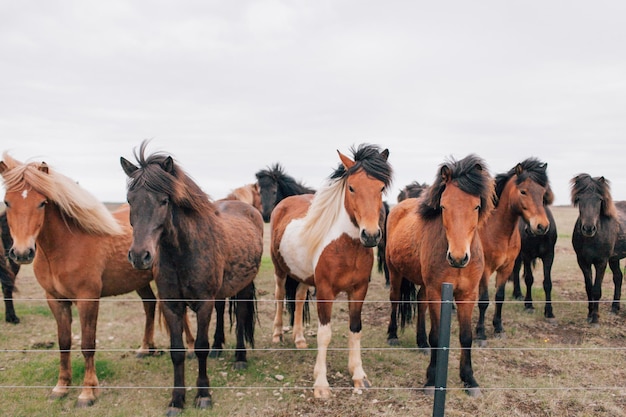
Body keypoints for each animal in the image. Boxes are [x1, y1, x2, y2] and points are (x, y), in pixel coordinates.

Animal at [122, 141, 260, 414]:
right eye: (130, 200)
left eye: (164, 200)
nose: (140, 255)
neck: (181, 253)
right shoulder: (171, 305)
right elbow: (177, 351)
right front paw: (176, 400)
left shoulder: (203, 303)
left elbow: (200, 347)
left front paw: (203, 395)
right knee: (223, 310)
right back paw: (219, 349)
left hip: (243, 286)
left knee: (241, 315)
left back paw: (240, 357)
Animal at [268, 144, 390, 396]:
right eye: (351, 187)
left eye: (381, 187)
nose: (371, 235)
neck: (346, 246)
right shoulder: (325, 292)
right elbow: (325, 335)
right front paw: (321, 385)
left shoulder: (359, 291)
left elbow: (355, 329)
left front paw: (358, 375)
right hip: (280, 270)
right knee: (279, 296)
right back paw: (277, 334)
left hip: (303, 275)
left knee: (298, 297)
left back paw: (299, 339)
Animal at [382, 154, 494, 394]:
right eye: (443, 206)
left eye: (476, 206)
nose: (458, 257)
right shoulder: (437, 293)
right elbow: (437, 335)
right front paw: (431, 379)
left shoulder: (467, 295)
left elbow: (466, 337)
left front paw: (469, 379)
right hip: (395, 273)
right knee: (394, 300)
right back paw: (393, 335)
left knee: (420, 303)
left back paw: (421, 343)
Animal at [472, 156, 552, 342]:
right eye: (523, 191)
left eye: (543, 192)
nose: (542, 226)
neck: (497, 231)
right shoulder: (485, 270)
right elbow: (484, 300)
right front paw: (480, 333)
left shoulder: (506, 267)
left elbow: (499, 297)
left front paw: (498, 328)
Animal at [572, 174, 624, 324]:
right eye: (579, 199)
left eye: (599, 200)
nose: (588, 228)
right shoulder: (583, 262)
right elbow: (589, 288)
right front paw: (589, 315)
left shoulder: (601, 262)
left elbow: (596, 290)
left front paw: (595, 318)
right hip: (614, 259)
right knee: (618, 277)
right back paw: (614, 308)